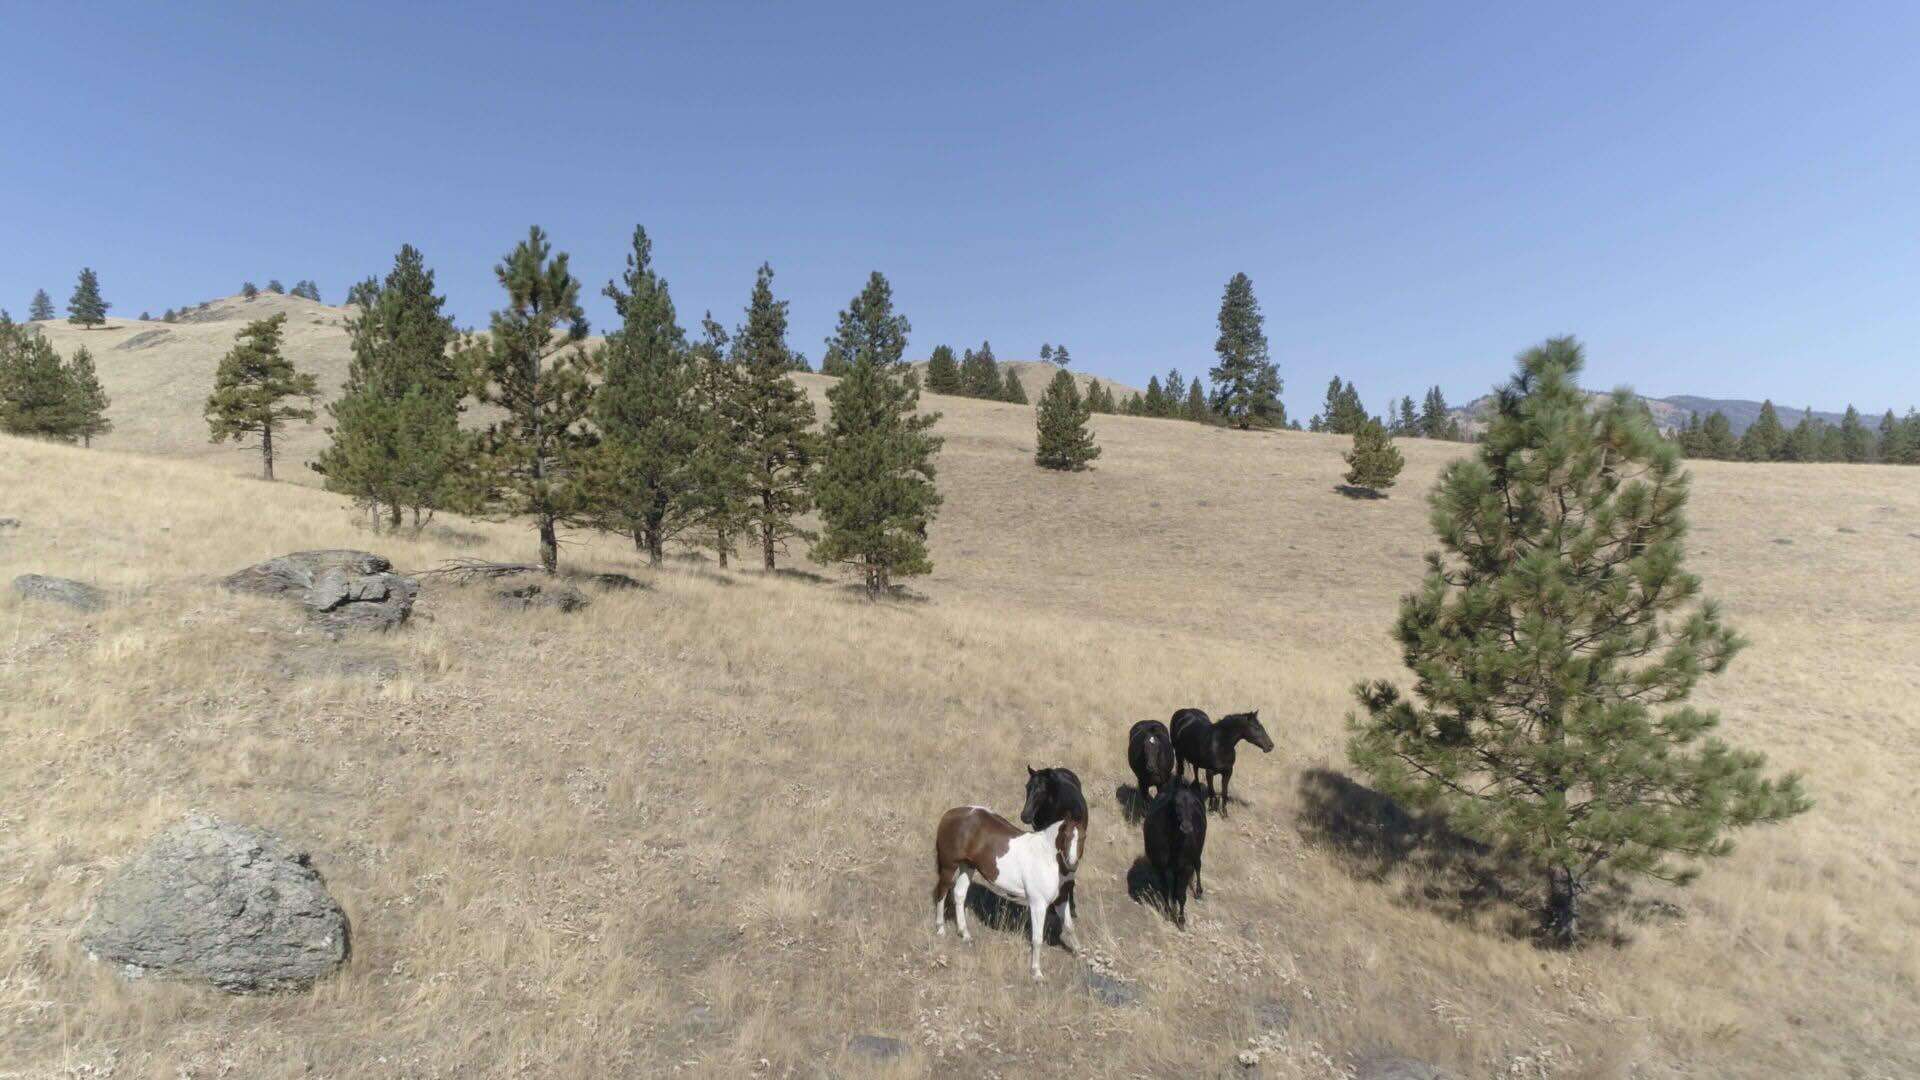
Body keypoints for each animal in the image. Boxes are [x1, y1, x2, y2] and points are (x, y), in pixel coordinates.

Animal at [932, 806, 1084, 980]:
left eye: (1083, 837)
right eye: (1065, 835)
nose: (1071, 864)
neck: (1049, 857)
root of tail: (950, 813)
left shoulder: (1062, 900)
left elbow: (1070, 926)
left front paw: (1079, 952)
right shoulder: (1038, 904)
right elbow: (1037, 938)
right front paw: (1036, 972)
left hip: (968, 865)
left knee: (959, 894)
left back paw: (965, 934)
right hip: (949, 867)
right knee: (942, 893)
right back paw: (940, 929)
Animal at [1142, 780, 1208, 928]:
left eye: (1193, 804)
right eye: (1176, 803)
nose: (1186, 827)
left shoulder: (1185, 867)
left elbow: (1181, 895)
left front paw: (1181, 920)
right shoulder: (1160, 866)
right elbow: (1166, 891)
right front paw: (1167, 912)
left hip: (1197, 853)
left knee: (1198, 866)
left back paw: (1199, 892)